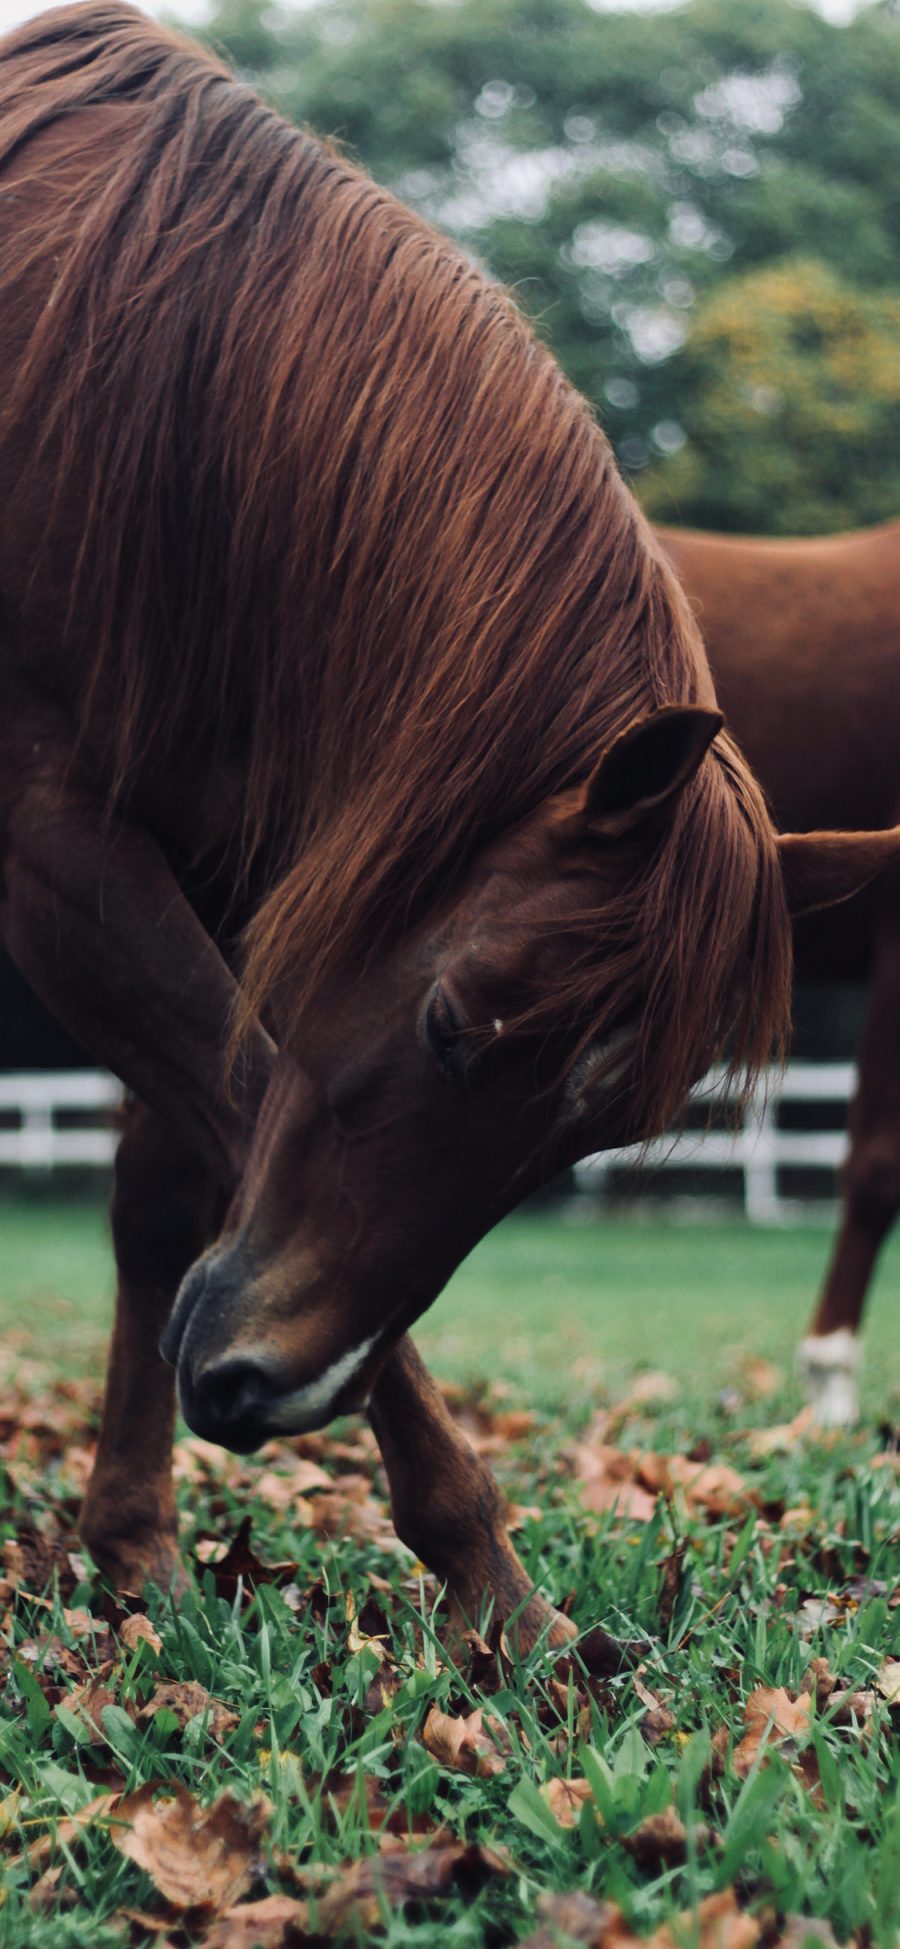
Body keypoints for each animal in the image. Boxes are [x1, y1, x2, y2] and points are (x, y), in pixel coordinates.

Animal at [0, 7, 892, 1644]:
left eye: (598, 1129)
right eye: (453, 1026)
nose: (266, 1387)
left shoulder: (228, 871)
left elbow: (173, 1181)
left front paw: (140, 1544)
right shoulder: (56, 851)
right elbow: (247, 1097)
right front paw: (491, 1574)